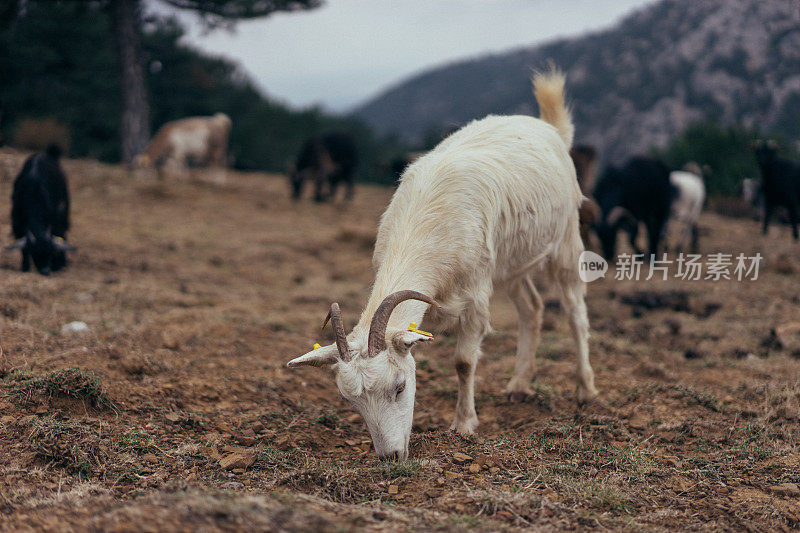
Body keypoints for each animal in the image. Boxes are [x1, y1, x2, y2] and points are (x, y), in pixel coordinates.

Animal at [7, 145, 75, 274]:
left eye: (50, 251)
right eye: (35, 252)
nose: (46, 270)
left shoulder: (54, 217)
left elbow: (58, 236)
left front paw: (57, 265)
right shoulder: (17, 223)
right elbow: (23, 248)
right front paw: (25, 267)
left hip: (64, 209)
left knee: (63, 234)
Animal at [286, 70, 592, 460]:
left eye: (400, 387)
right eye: (350, 401)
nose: (390, 457)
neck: (426, 218)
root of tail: (549, 128)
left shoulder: (476, 292)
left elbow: (463, 361)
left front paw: (464, 426)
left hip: (565, 238)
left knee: (574, 310)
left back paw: (585, 390)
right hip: (511, 262)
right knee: (532, 308)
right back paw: (519, 385)